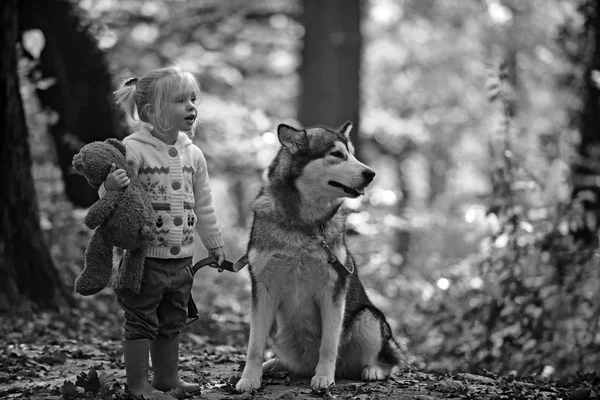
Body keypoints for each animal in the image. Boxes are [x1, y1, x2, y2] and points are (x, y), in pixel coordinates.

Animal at [236, 121, 404, 390]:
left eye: (353, 153)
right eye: (336, 154)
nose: (371, 174)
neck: (304, 227)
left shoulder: (333, 291)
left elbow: (328, 343)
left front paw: (324, 376)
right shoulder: (263, 289)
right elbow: (254, 345)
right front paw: (249, 379)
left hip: (368, 318)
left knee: (389, 360)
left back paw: (373, 370)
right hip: (281, 333)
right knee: (285, 361)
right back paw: (273, 365)